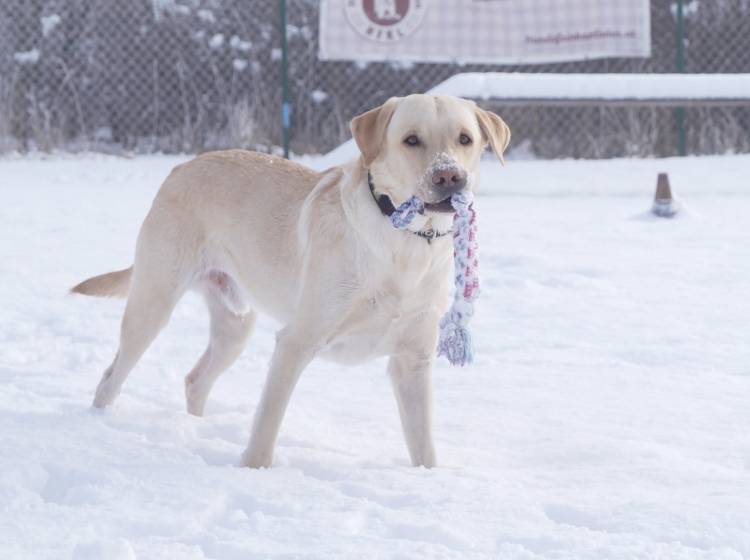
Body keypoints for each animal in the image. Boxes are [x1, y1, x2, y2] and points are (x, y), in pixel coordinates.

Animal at [73, 94, 512, 466]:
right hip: (153, 304)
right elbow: (267, 423)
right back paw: (97, 424)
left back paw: (195, 427)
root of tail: (181, 167)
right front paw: (254, 470)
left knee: (195, 380)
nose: (449, 176)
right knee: (111, 377)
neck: (405, 244)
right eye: (411, 140)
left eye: (465, 139)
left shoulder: (413, 361)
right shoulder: (295, 342)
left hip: (235, 325)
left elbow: (423, 446)